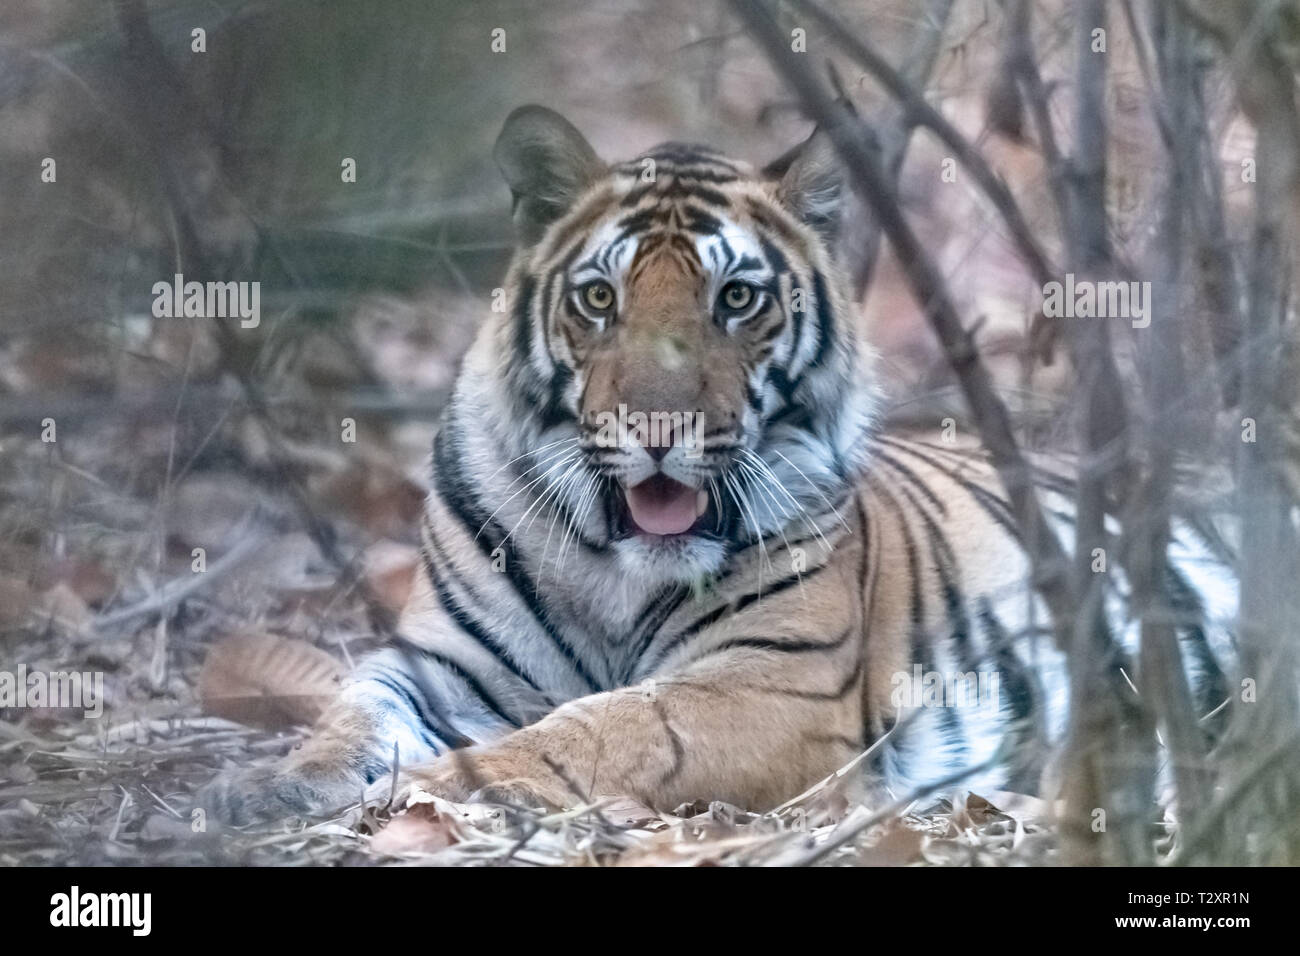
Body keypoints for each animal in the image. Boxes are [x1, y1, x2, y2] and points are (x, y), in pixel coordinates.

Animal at [204, 105, 1238, 824]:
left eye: (738, 299)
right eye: (599, 298)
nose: (660, 426)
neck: (611, 567)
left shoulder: (773, 685)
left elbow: (603, 726)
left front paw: (447, 782)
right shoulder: (444, 664)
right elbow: (351, 711)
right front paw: (271, 788)